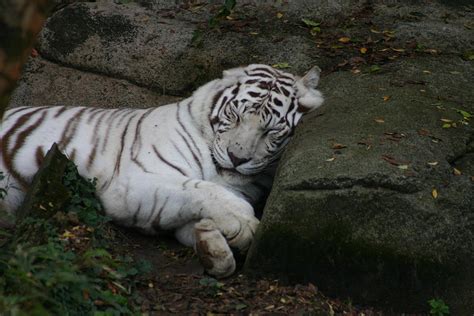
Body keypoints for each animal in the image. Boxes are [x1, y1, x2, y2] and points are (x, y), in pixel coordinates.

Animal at [0, 64, 324, 276]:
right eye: (234, 115)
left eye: (271, 131)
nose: (236, 157)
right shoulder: (129, 184)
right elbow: (198, 189)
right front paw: (243, 224)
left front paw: (211, 246)